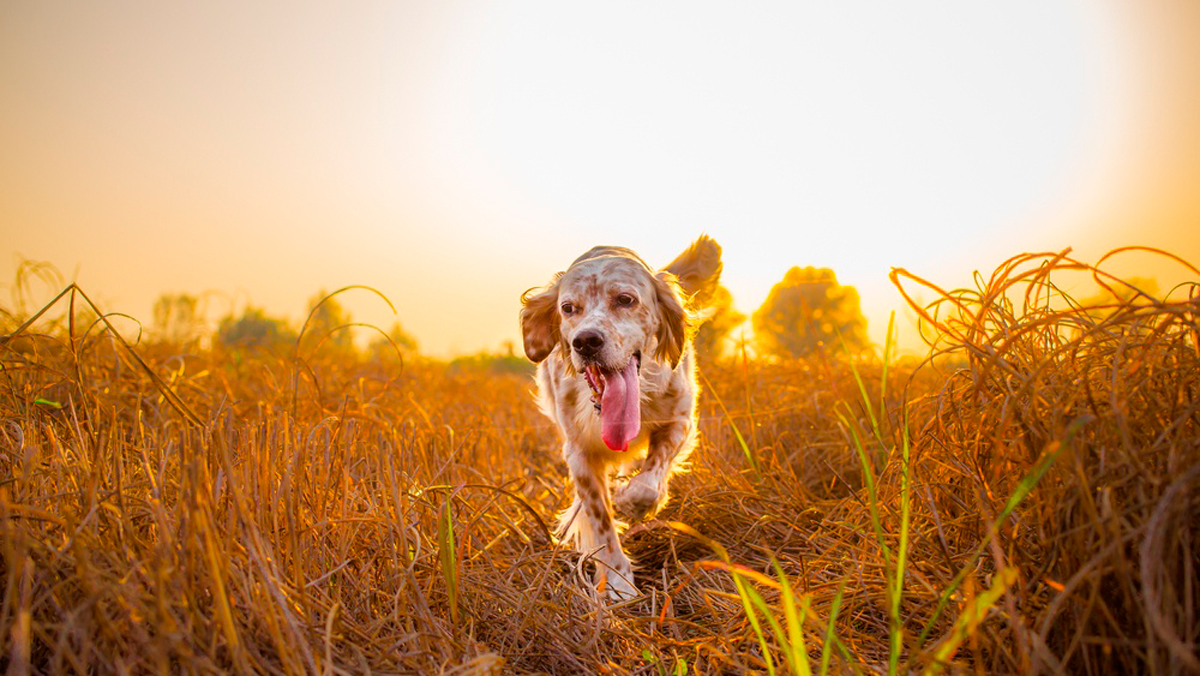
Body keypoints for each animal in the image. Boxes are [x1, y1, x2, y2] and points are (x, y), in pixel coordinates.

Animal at [518, 235, 720, 600]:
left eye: (625, 299)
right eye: (568, 308)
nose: (586, 341)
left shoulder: (680, 422)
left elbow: (649, 482)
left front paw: (632, 501)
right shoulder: (579, 453)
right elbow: (601, 521)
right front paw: (618, 582)